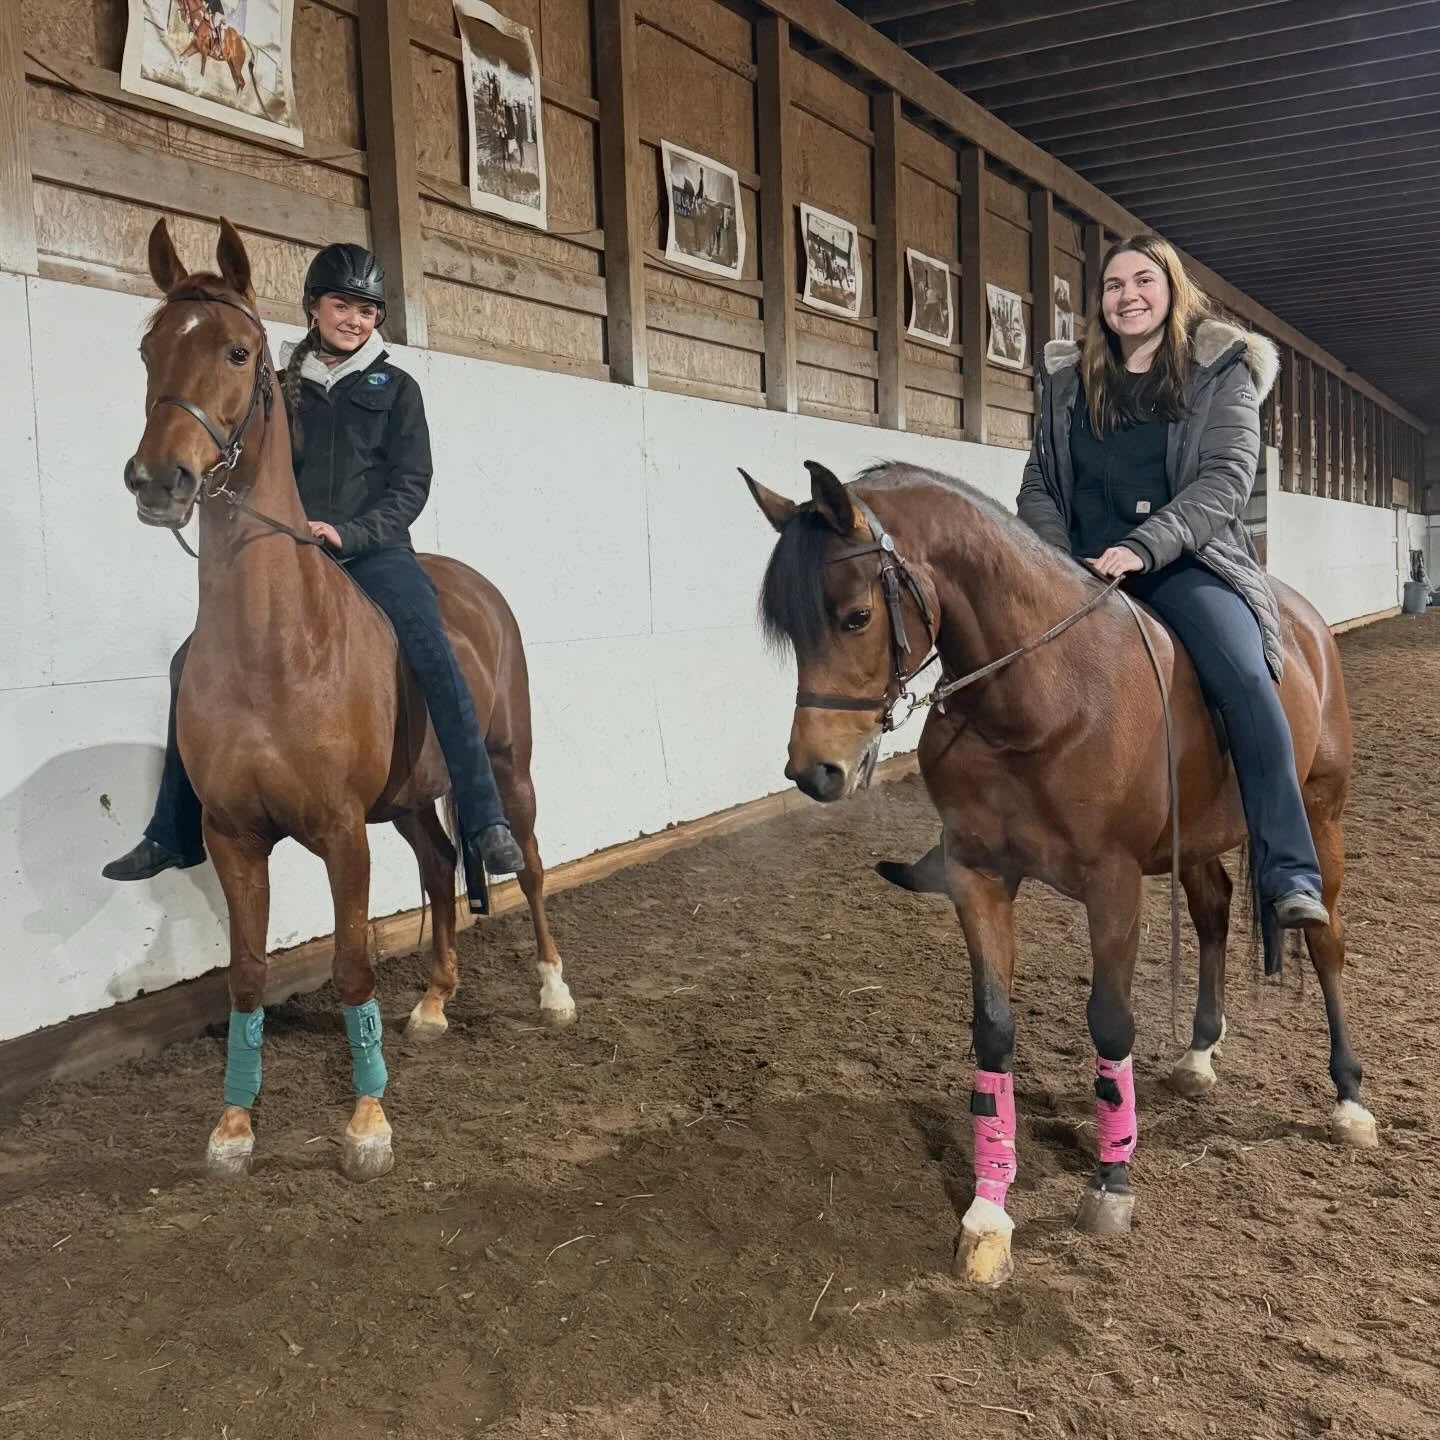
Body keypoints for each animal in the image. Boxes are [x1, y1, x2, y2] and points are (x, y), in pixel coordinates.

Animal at [124, 218, 575, 1182]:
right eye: (148, 349)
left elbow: (353, 967)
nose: (156, 481)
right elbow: (247, 974)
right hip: (403, 803)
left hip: (509, 770)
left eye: (236, 351)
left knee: (527, 861)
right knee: (440, 867)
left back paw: (556, 990)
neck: (274, 645)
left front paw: (369, 1124)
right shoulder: (235, 835)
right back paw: (436, 1004)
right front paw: (234, 1126)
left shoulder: (338, 832)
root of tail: (475, 588)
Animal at [744, 458, 1376, 1288]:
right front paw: (987, 1214)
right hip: (1199, 840)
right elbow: (992, 1030)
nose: (814, 772)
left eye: (853, 617)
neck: (1041, 696)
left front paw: (1112, 1183)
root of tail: (1304, 624)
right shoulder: (979, 878)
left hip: (1322, 813)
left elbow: (1110, 1024)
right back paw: (1199, 1056)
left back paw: (1349, 1100)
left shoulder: (1112, 886)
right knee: (1213, 911)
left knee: (1326, 944)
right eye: (790, 630)